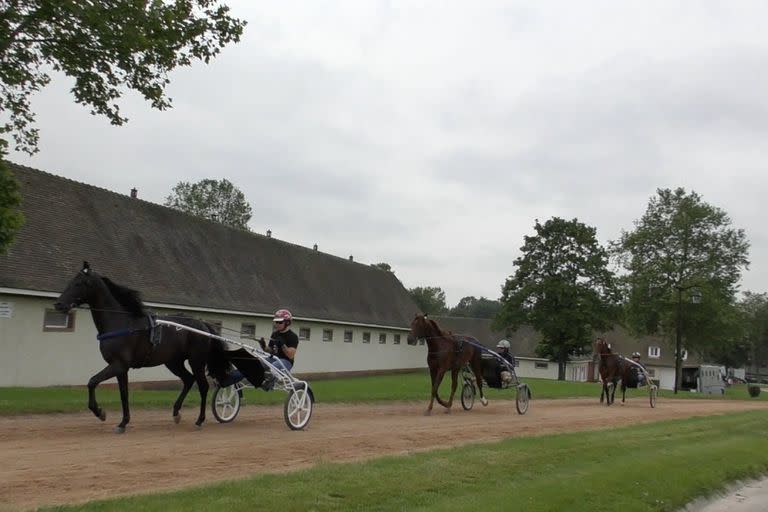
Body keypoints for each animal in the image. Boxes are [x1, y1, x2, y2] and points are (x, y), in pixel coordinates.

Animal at [54, 260, 230, 432]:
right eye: (70, 281)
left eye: (79, 283)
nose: (58, 304)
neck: (121, 323)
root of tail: (203, 324)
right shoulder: (121, 368)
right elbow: (123, 394)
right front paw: (123, 423)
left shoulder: (118, 365)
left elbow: (92, 381)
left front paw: (100, 412)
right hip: (173, 362)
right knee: (188, 380)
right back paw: (176, 413)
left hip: (196, 361)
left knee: (203, 386)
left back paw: (200, 420)